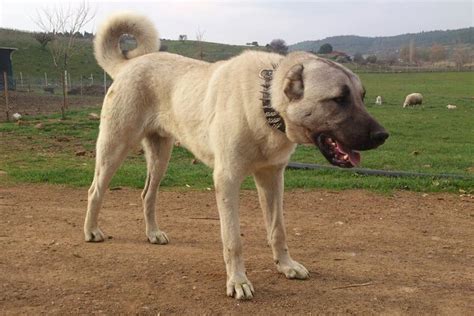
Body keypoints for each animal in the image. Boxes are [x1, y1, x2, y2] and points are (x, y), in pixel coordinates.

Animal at [85, 11, 388, 298]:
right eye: (338, 99)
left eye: (362, 96)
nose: (382, 135)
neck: (265, 105)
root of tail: (129, 64)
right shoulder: (227, 180)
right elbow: (233, 240)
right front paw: (239, 282)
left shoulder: (272, 178)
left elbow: (278, 230)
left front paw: (286, 265)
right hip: (115, 147)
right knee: (95, 190)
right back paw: (91, 231)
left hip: (161, 156)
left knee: (147, 194)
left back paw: (152, 234)